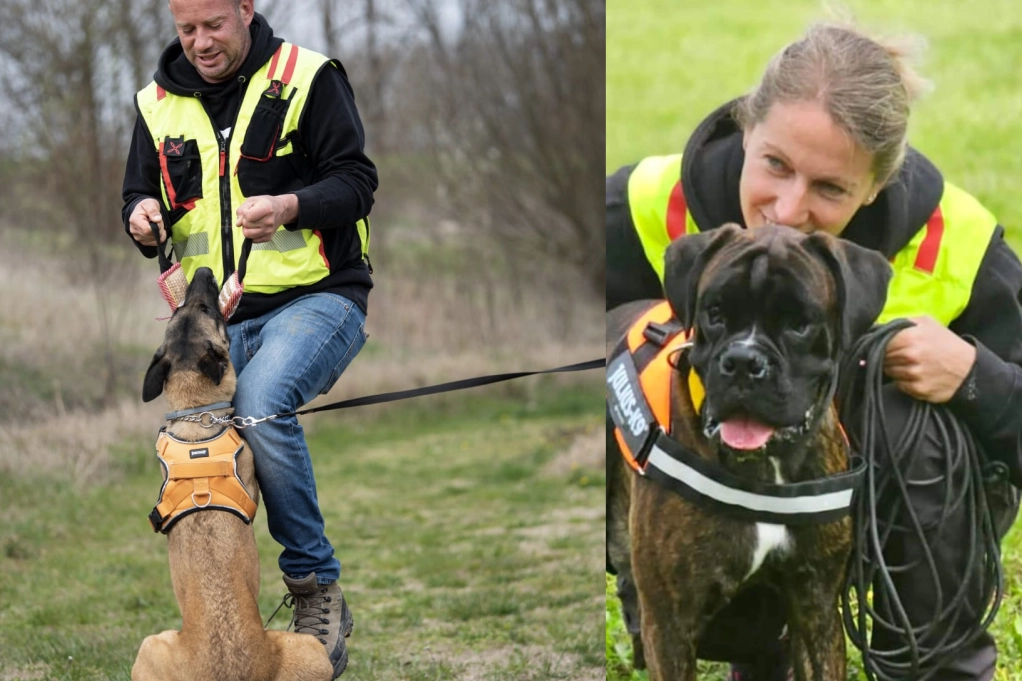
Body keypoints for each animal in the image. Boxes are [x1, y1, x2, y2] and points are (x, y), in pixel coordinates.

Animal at [609, 224, 891, 678]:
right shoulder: (669, 628)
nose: (743, 361)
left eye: (799, 324)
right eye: (715, 313)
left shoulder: (816, 610)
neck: (766, 467)